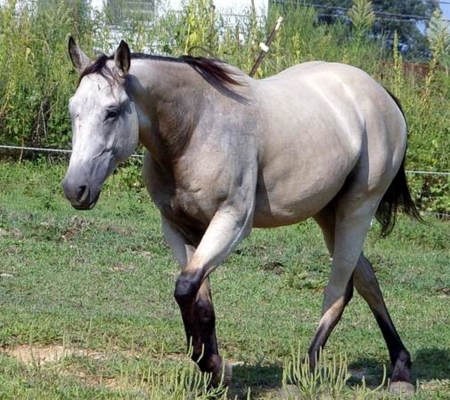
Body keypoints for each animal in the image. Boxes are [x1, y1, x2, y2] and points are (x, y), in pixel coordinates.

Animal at [63, 37, 422, 394]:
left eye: (111, 112)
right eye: (73, 109)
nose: (74, 189)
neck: (197, 126)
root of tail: (380, 94)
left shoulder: (231, 222)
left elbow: (185, 287)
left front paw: (210, 363)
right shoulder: (179, 228)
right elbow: (199, 299)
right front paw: (214, 370)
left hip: (357, 209)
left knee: (338, 290)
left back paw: (305, 373)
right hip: (328, 213)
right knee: (365, 280)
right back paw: (400, 369)